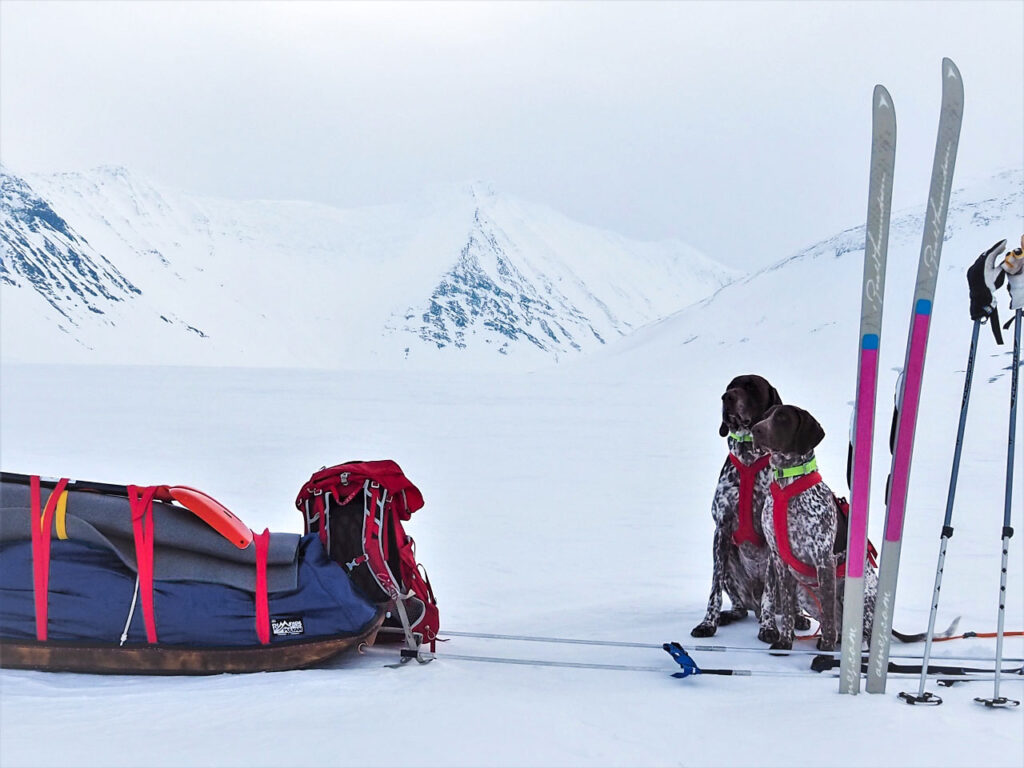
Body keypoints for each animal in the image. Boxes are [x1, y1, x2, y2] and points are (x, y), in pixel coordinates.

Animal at [692, 376, 786, 638]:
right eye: (729, 387)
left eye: (751, 387)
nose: (727, 398)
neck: (747, 459)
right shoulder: (721, 531)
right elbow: (714, 591)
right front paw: (707, 623)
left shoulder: (771, 536)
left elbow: (770, 592)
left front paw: (769, 628)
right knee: (741, 607)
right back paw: (729, 615)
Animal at [753, 405, 880, 651]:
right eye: (764, 416)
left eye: (782, 418)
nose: (755, 429)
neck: (786, 485)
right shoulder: (779, 560)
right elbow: (788, 608)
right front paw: (785, 642)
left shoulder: (823, 559)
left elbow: (829, 613)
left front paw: (827, 645)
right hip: (805, 593)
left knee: (861, 630)